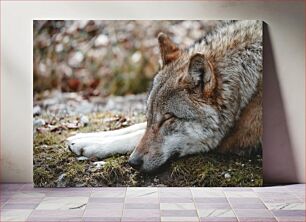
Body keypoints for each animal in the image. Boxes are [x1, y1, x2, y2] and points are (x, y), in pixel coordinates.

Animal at [67, 20, 262, 173]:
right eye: (149, 115)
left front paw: (94, 145)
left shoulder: (232, 139)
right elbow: (135, 128)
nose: (133, 162)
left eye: (169, 118)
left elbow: (134, 135)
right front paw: (85, 138)